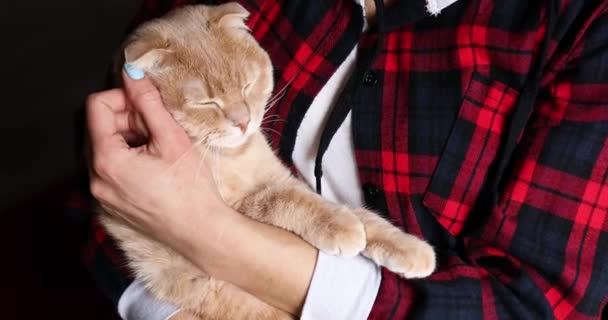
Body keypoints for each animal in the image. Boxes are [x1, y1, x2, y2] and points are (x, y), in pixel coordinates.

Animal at [100, 3, 434, 320]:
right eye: (206, 103)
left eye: (246, 85)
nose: (242, 121)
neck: (236, 157)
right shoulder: (243, 204)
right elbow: (287, 201)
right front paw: (340, 225)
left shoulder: (282, 178)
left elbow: (360, 214)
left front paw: (410, 249)